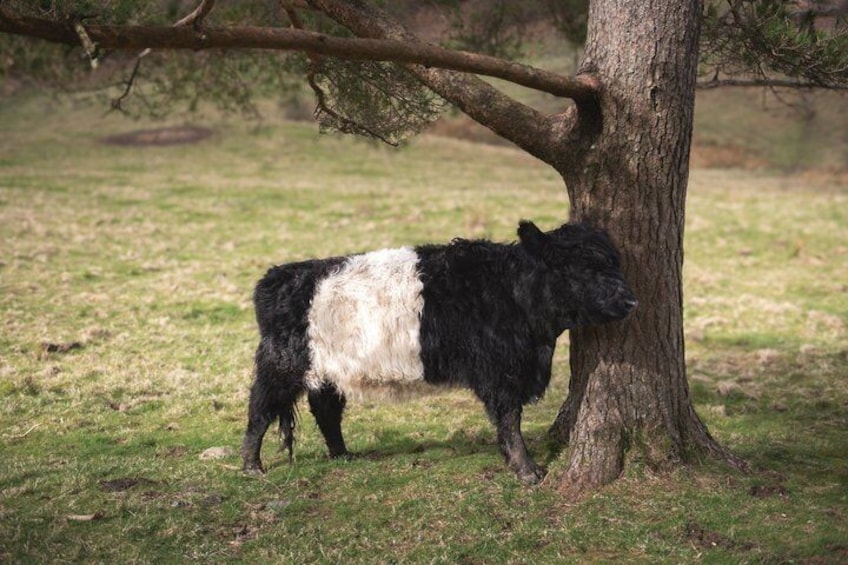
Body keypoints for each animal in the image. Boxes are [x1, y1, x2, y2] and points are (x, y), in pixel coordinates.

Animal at [240, 220, 637, 484]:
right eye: (582, 268)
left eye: (614, 264)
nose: (631, 299)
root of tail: (277, 276)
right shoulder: (501, 373)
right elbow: (510, 421)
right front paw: (527, 471)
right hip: (281, 366)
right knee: (260, 410)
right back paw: (251, 466)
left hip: (329, 372)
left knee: (325, 411)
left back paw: (343, 456)